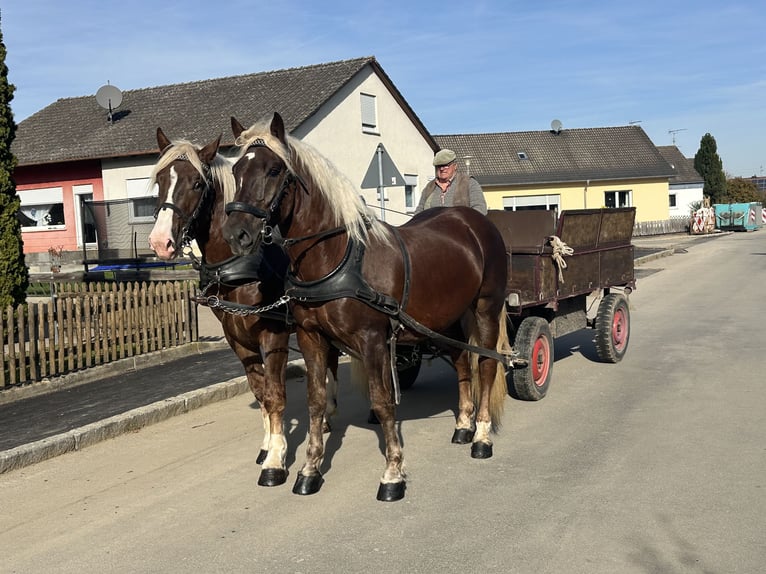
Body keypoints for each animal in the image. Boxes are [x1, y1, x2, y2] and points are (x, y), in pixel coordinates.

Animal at [147, 128, 341, 488]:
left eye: (197, 183)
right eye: (161, 180)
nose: (160, 242)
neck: (240, 266)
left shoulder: (273, 335)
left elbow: (276, 394)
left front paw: (276, 461)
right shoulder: (237, 339)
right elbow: (260, 391)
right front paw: (267, 448)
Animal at [222, 112, 510, 502]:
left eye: (273, 170)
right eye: (237, 170)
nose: (236, 234)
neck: (336, 257)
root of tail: (473, 221)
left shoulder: (372, 340)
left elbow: (382, 401)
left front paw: (392, 474)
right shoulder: (311, 338)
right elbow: (316, 402)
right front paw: (309, 471)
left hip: (486, 308)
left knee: (486, 365)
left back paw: (480, 436)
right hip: (449, 317)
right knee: (463, 361)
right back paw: (463, 425)